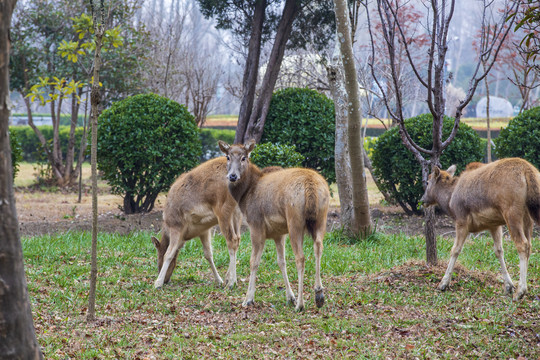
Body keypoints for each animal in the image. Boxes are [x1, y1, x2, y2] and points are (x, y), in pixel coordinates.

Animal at [151, 158, 242, 290]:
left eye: (158, 258)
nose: (167, 280)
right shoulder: (204, 230)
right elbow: (208, 254)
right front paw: (219, 280)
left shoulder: (176, 225)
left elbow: (169, 253)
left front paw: (158, 283)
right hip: (237, 212)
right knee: (238, 238)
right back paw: (228, 279)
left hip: (223, 211)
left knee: (232, 240)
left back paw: (232, 282)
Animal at [218, 141, 330, 312]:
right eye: (227, 157)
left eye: (244, 157)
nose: (232, 176)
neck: (244, 195)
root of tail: (310, 186)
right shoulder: (279, 233)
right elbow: (281, 262)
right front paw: (290, 297)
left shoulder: (255, 224)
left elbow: (254, 261)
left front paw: (248, 299)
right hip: (321, 218)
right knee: (318, 247)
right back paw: (319, 294)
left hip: (294, 220)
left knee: (300, 257)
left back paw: (301, 304)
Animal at [422, 158, 540, 300]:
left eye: (427, 182)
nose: (422, 200)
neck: (449, 201)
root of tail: (527, 170)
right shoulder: (494, 225)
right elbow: (499, 251)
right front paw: (508, 285)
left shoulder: (461, 220)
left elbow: (455, 250)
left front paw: (443, 283)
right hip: (527, 217)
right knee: (529, 246)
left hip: (511, 212)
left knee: (522, 244)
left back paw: (521, 290)